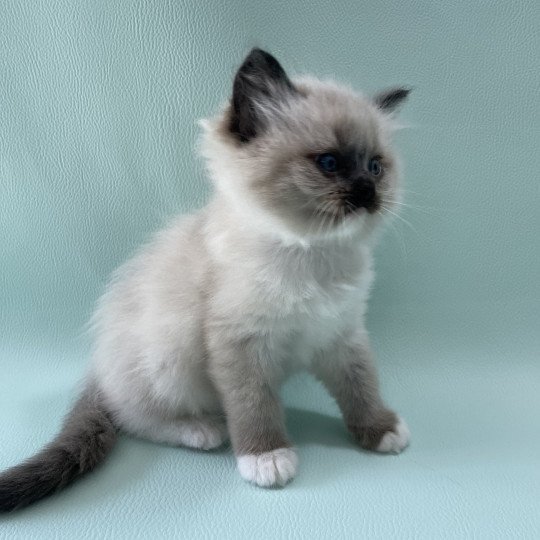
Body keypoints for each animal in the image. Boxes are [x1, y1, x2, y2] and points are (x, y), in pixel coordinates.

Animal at [0, 47, 412, 510]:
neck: (312, 253)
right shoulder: (240, 343)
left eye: (375, 167)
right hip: (168, 354)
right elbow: (253, 405)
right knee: (134, 416)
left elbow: (361, 386)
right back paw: (200, 430)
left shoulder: (342, 334)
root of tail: (98, 364)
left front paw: (381, 429)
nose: (368, 192)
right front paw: (266, 457)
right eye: (329, 163)